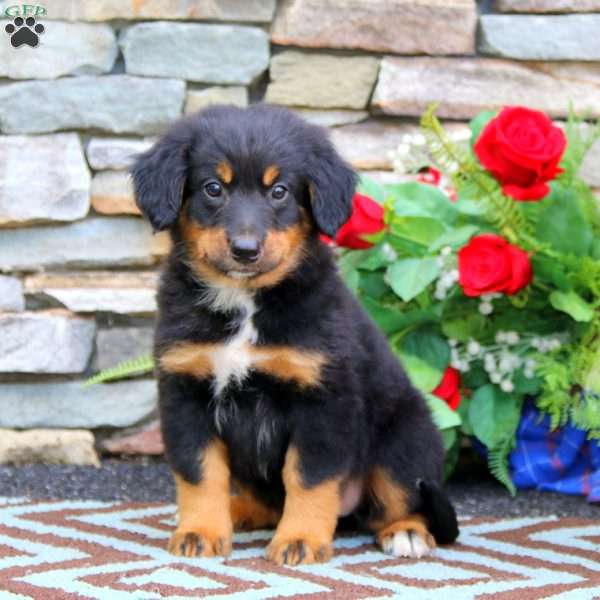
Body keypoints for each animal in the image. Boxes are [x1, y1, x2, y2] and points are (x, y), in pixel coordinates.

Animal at [132, 105, 460, 564]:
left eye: (280, 191)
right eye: (213, 188)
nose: (245, 250)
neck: (246, 303)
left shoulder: (322, 400)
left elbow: (308, 478)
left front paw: (300, 540)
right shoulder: (186, 392)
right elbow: (201, 474)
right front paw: (200, 530)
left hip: (404, 440)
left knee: (400, 498)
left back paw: (406, 532)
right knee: (263, 501)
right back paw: (235, 511)